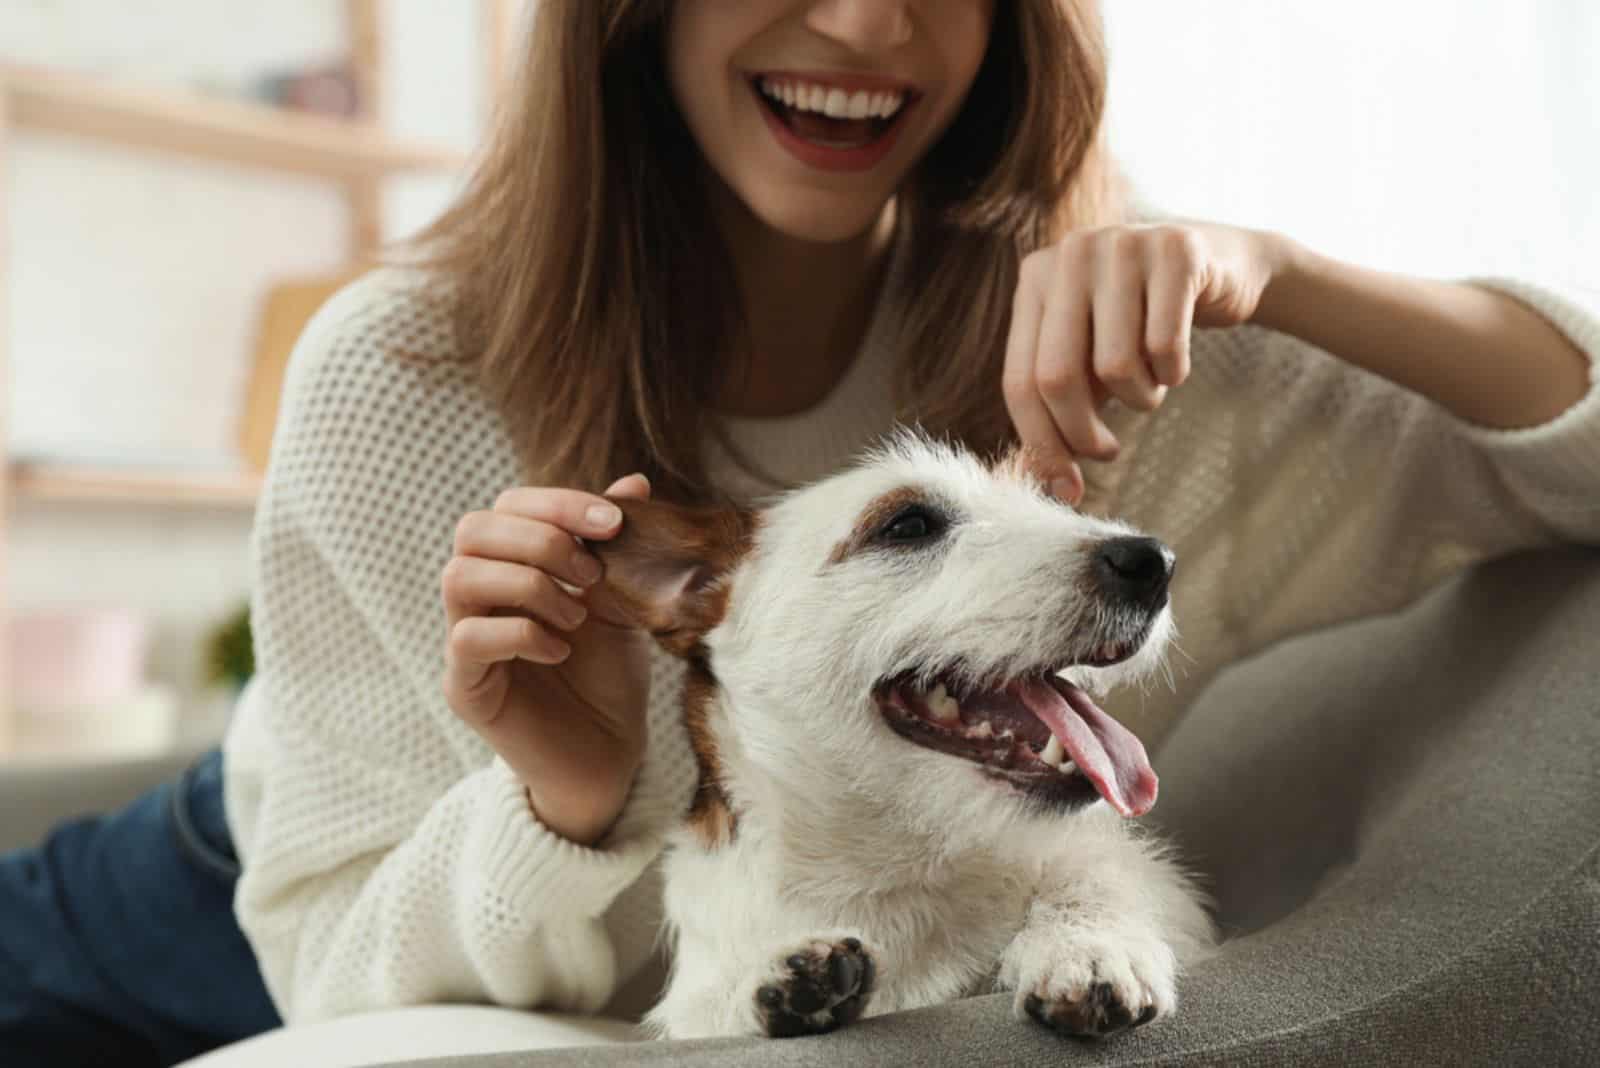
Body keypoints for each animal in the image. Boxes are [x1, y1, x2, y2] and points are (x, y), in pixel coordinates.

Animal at [588, 428, 1209, 1036]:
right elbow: (712, 1013)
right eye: (908, 525)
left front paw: (1086, 945)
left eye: (1050, 504)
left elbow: (1092, 881)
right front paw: (774, 985)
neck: (898, 867)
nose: (1154, 561)